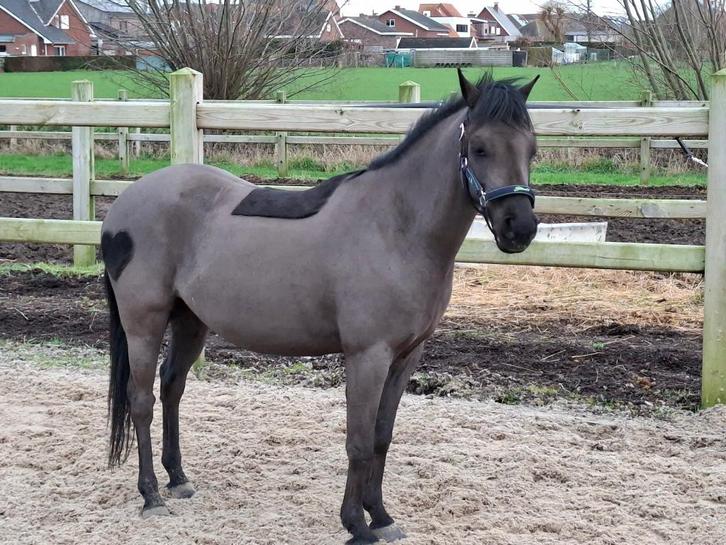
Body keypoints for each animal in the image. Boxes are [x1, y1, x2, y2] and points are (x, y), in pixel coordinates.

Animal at [101, 70, 539, 544]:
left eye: (531, 147)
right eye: (479, 147)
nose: (520, 228)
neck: (396, 227)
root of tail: (122, 204)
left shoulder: (406, 356)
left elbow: (382, 436)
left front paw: (381, 516)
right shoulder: (368, 356)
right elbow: (359, 441)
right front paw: (357, 524)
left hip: (190, 320)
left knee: (172, 387)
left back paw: (178, 479)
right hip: (143, 323)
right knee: (141, 400)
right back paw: (151, 496)